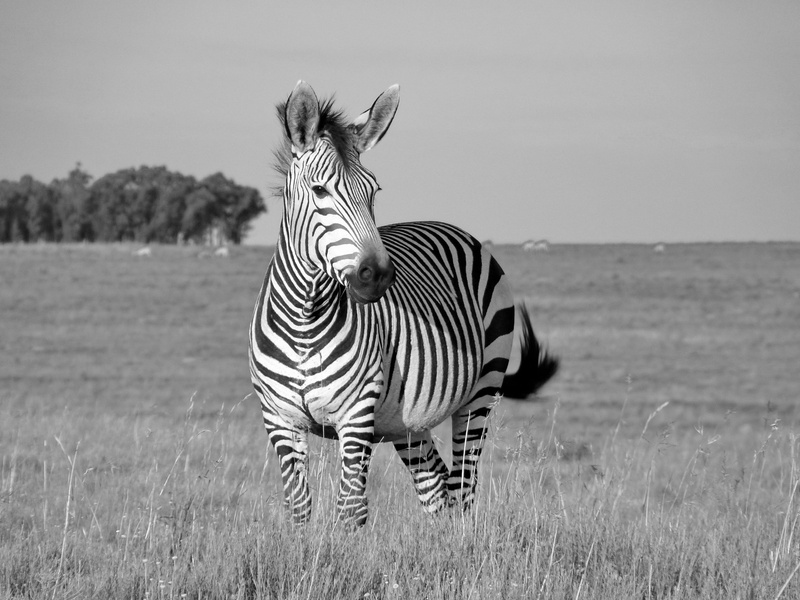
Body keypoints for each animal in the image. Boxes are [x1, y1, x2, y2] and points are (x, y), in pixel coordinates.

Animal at [249, 81, 559, 527]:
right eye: (320, 190)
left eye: (373, 192)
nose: (377, 275)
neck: (304, 322)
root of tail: (450, 226)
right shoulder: (279, 419)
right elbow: (299, 509)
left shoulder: (356, 416)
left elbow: (350, 510)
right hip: (408, 422)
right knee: (437, 488)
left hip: (482, 391)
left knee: (463, 486)